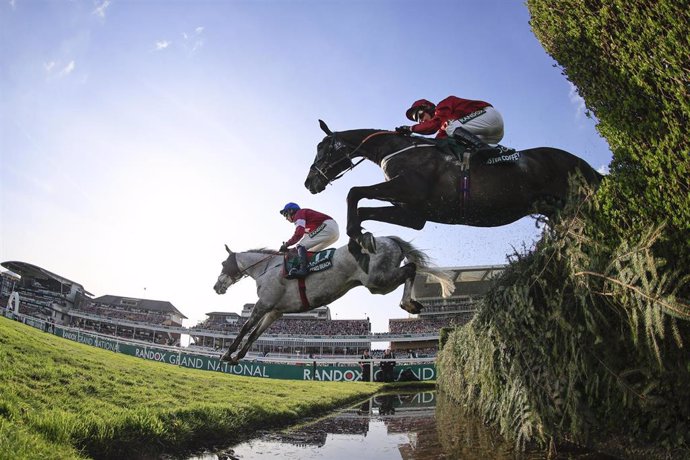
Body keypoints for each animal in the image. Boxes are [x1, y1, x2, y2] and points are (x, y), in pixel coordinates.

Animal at [212, 237, 454, 362]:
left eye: (223, 264)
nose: (217, 287)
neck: (266, 268)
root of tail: (389, 239)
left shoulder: (264, 304)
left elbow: (245, 328)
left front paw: (227, 353)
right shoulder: (274, 311)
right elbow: (255, 333)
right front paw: (239, 355)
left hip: (378, 280)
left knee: (411, 268)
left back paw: (408, 303)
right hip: (380, 281)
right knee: (410, 268)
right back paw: (411, 303)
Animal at [304, 120, 600, 253]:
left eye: (321, 148)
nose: (309, 183)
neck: (395, 149)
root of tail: (582, 162)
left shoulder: (410, 188)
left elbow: (354, 192)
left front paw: (355, 232)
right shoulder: (414, 214)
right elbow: (364, 209)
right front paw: (362, 236)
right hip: (558, 210)